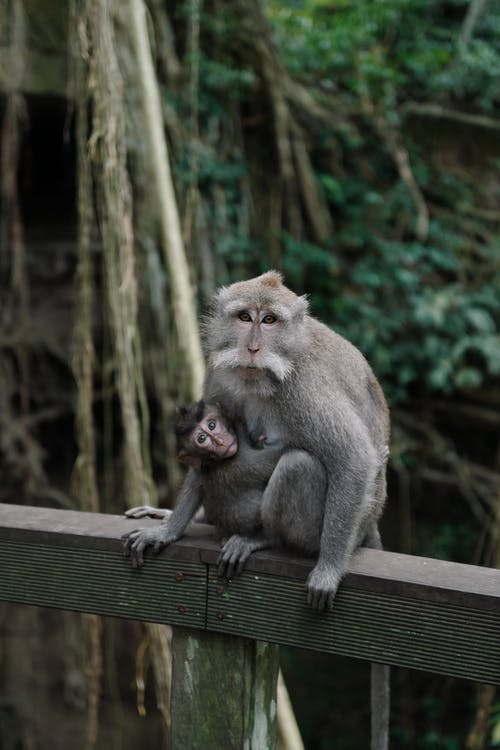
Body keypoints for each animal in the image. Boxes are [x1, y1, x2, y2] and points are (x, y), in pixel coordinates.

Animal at [124, 274, 390, 750]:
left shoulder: (305, 391)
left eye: (269, 321)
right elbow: (203, 465)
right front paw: (168, 530)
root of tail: (369, 524)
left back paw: (268, 540)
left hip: (343, 520)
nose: (251, 347)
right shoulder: (218, 377)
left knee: (299, 463)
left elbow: (354, 458)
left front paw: (329, 570)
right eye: (245, 317)